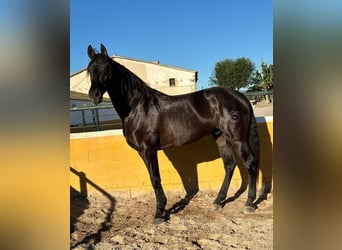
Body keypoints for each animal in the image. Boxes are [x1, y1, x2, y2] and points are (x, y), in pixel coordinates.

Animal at [87, 44, 260, 223]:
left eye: (107, 68)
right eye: (90, 70)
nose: (94, 95)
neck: (137, 107)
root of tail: (240, 97)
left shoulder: (148, 149)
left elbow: (155, 178)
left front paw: (159, 213)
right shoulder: (143, 152)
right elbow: (154, 178)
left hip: (238, 139)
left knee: (250, 163)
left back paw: (249, 203)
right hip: (222, 137)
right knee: (229, 165)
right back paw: (218, 201)